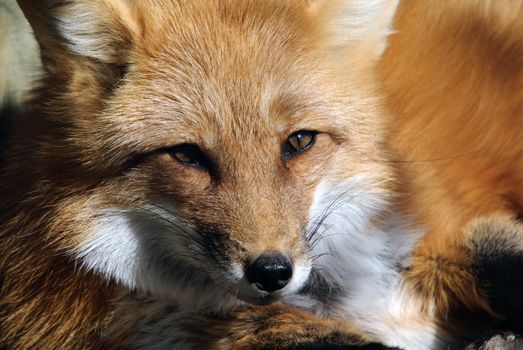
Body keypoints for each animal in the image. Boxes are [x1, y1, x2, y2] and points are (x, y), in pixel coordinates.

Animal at [0, 0, 520, 350]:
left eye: (300, 142)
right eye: (186, 155)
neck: (338, 292)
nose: (271, 271)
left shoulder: (428, 226)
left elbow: (498, 256)